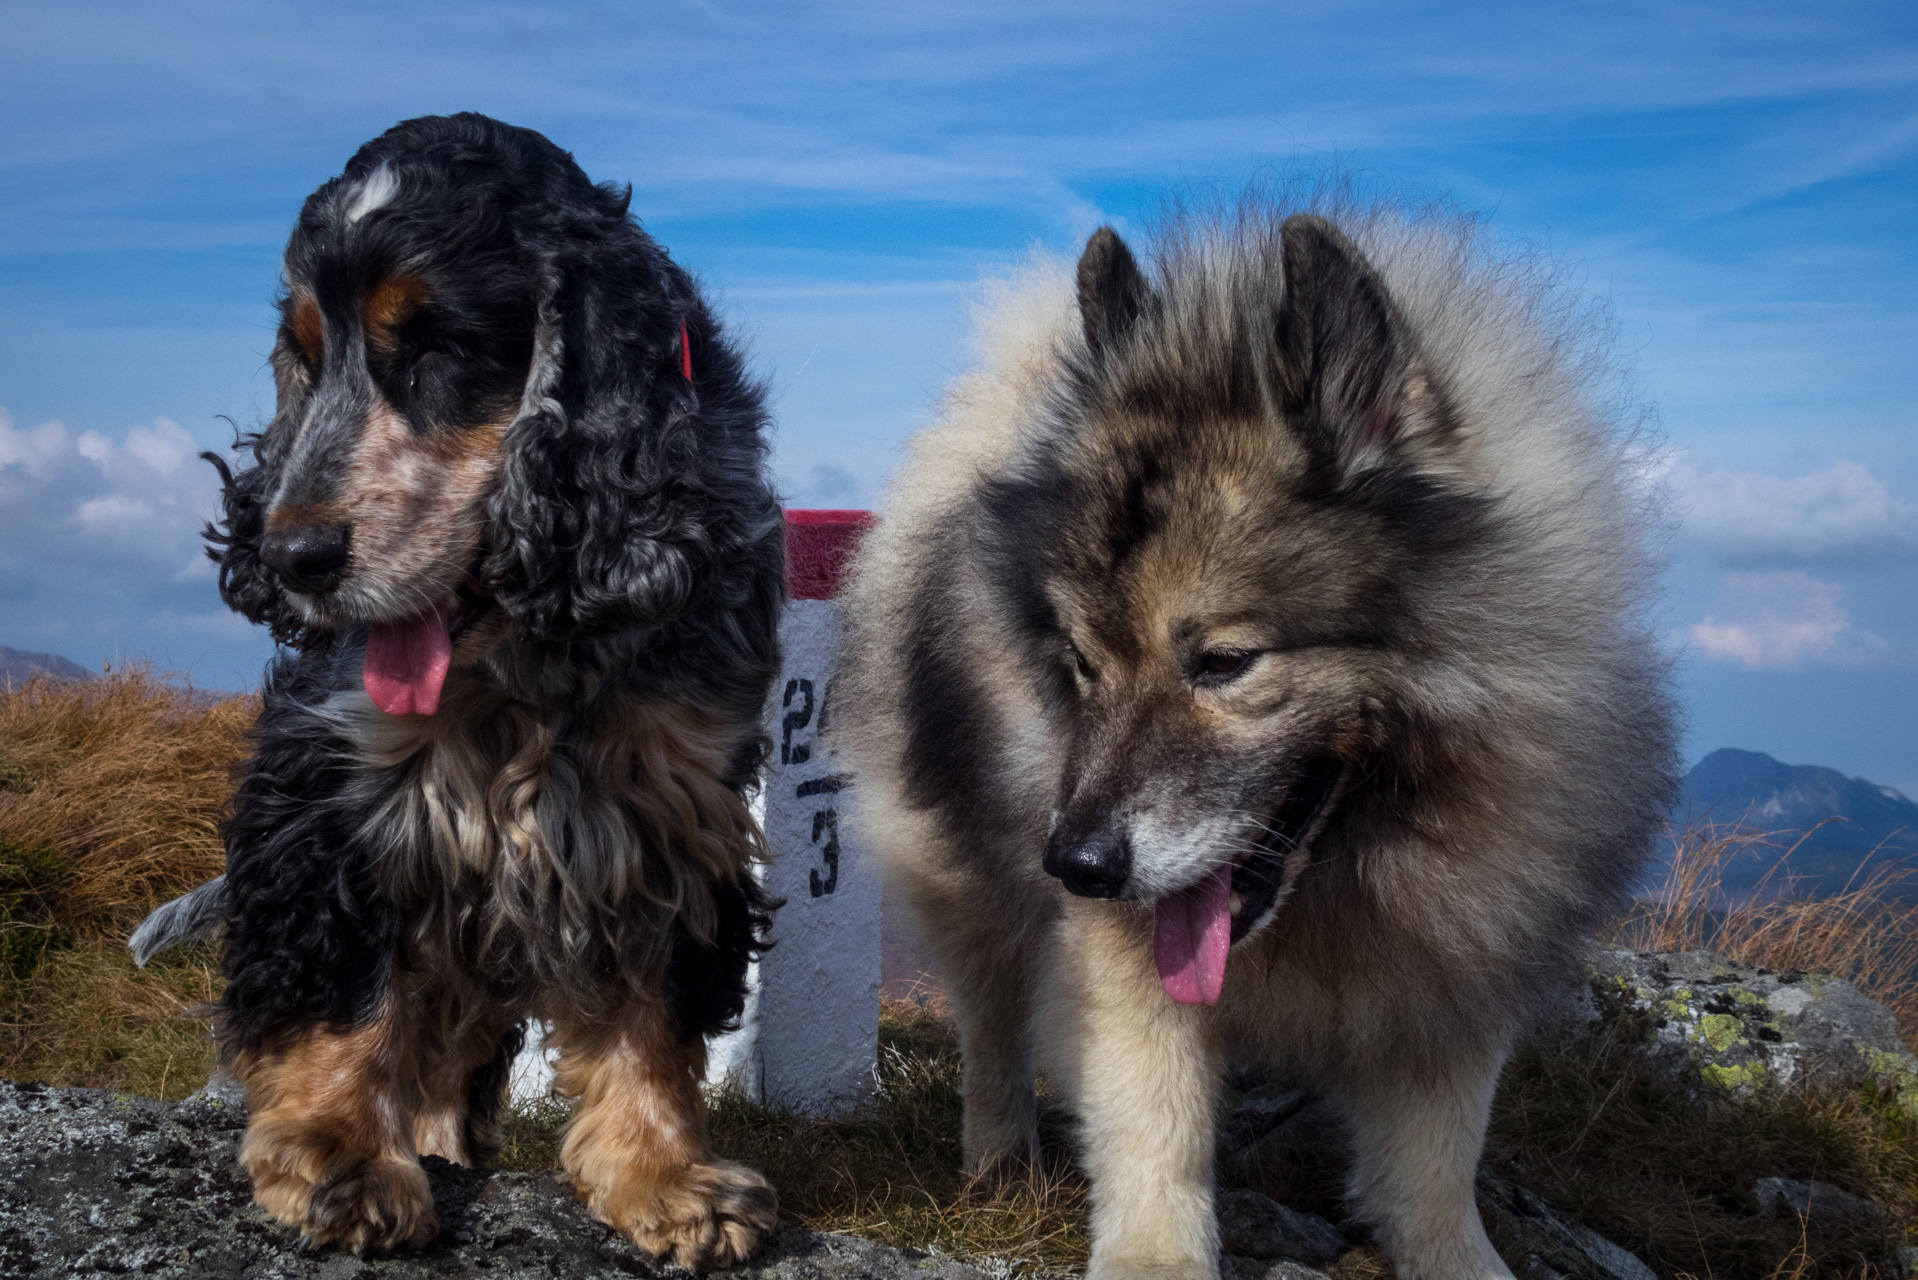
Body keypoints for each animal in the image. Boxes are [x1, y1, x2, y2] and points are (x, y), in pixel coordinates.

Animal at [832, 202, 1672, 1280]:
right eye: (1080, 663)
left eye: (1224, 662)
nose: (1078, 864)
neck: (1346, 860)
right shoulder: (1122, 962)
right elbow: (1155, 1124)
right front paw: (1155, 1258)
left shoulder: (1461, 949)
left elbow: (1437, 1161)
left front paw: (1456, 1254)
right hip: (958, 870)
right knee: (991, 1020)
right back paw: (1000, 1160)